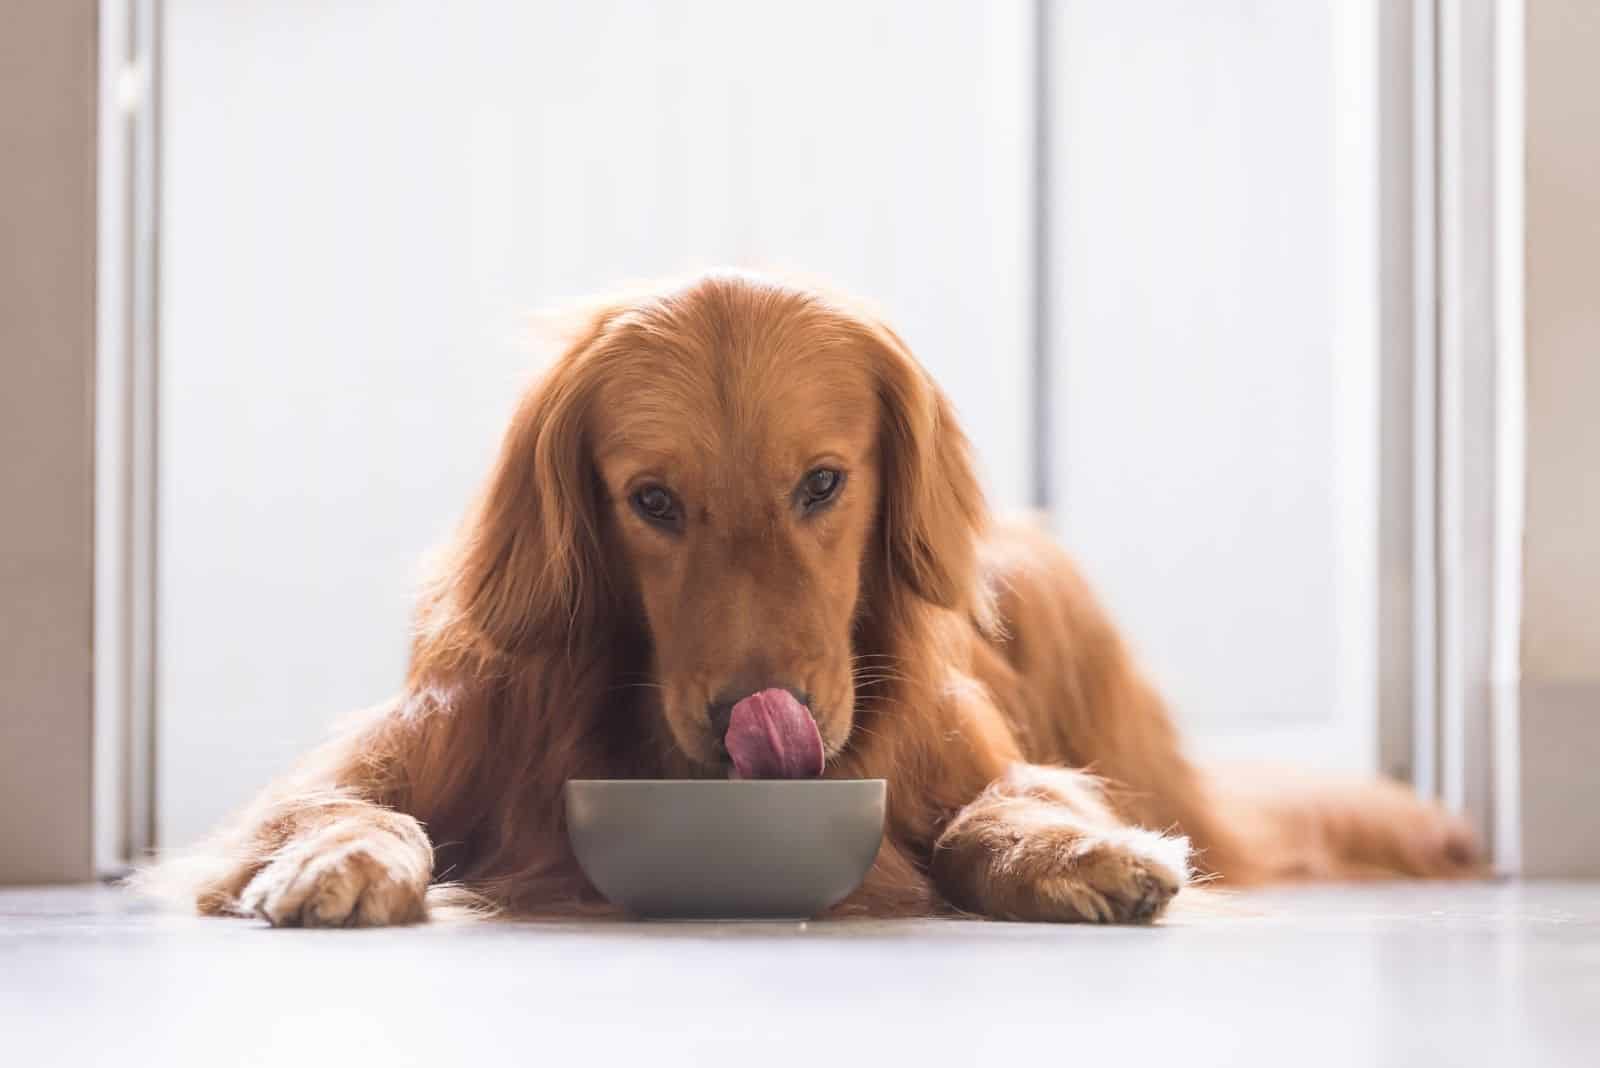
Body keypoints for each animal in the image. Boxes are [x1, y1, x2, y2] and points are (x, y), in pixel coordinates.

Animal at [156, 268, 1478, 927]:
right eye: (652, 501)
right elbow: (340, 806)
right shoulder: (415, 742)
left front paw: (1067, 848)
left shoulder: (959, 753)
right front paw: (339, 857)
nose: (763, 719)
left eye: (823, 483)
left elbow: (999, 802)